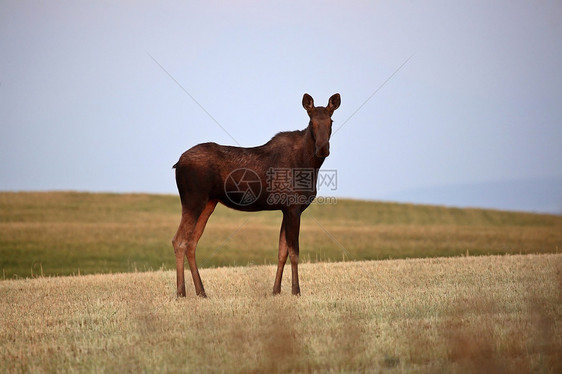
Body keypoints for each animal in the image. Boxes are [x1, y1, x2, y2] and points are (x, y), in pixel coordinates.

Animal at [171, 92, 340, 296]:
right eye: (311, 121)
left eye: (331, 121)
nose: (323, 148)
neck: (310, 166)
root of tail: (177, 163)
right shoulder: (293, 207)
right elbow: (294, 252)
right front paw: (296, 291)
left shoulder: (286, 209)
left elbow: (281, 252)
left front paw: (276, 291)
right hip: (193, 200)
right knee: (179, 241)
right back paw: (181, 293)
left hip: (209, 203)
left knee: (191, 243)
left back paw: (201, 292)